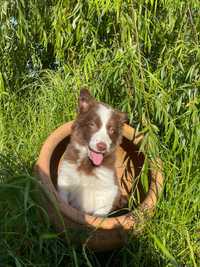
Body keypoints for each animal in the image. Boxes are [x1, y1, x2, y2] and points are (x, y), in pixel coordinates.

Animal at [57, 89, 126, 217]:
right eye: (92, 125)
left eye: (112, 130)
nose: (102, 147)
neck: (87, 162)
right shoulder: (66, 177)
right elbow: (63, 200)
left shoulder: (109, 190)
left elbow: (99, 215)